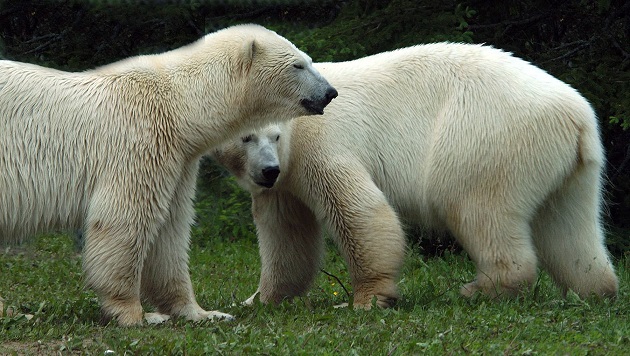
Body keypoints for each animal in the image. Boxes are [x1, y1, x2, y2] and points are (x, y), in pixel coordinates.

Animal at [0, 24, 338, 326]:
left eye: (308, 60)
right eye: (298, 64)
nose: (330, 92)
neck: (178, 106)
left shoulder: (178, 159)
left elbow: (170, 229)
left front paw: (204, 313)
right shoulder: (140, 142)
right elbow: (125, 220)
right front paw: (137, 315)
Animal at [214, 42, 624, 308]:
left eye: (272, 135)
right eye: (246, 138)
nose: (268, 171)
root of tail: (577, 115)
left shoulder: (322, 146)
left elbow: (359, 212)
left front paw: (367, 298)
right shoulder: (284, 184)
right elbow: (287, 237)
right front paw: (258, 299)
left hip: (483, 139)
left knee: (477, 209)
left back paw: (479, 289)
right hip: (570, 166)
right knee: (569, 227)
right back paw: (595, 289)